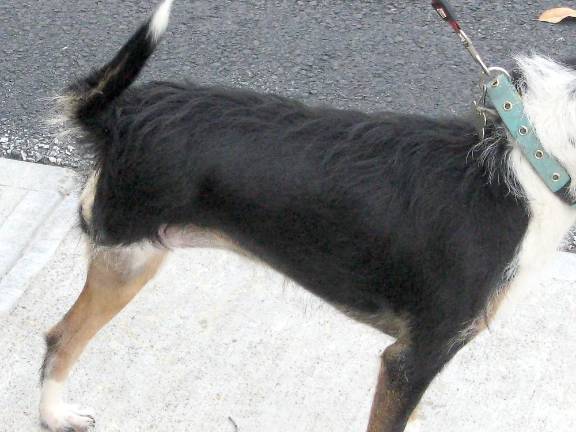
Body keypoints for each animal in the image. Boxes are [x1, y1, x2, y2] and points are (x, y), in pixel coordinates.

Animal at [39, 0, 576, 432]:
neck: (533, 158)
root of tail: (117, 118)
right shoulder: (413, 357)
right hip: (126, 256)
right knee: (61, 338)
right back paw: (56, 416)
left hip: (136, 256)